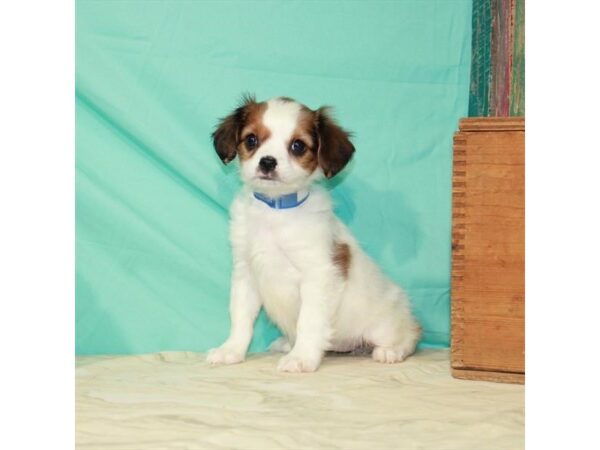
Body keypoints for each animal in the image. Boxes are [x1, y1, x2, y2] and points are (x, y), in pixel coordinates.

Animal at [209, 95, 420, 372]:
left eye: (298, 146)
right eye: (251, 140)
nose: (267, 162)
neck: (276, 211)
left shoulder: (317, 276)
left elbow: (308, 322)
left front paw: (302, 357)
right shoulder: (246, 273)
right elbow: (241, 318)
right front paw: (232, 350)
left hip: (384, 326)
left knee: (411, 334)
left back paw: (391, 351)